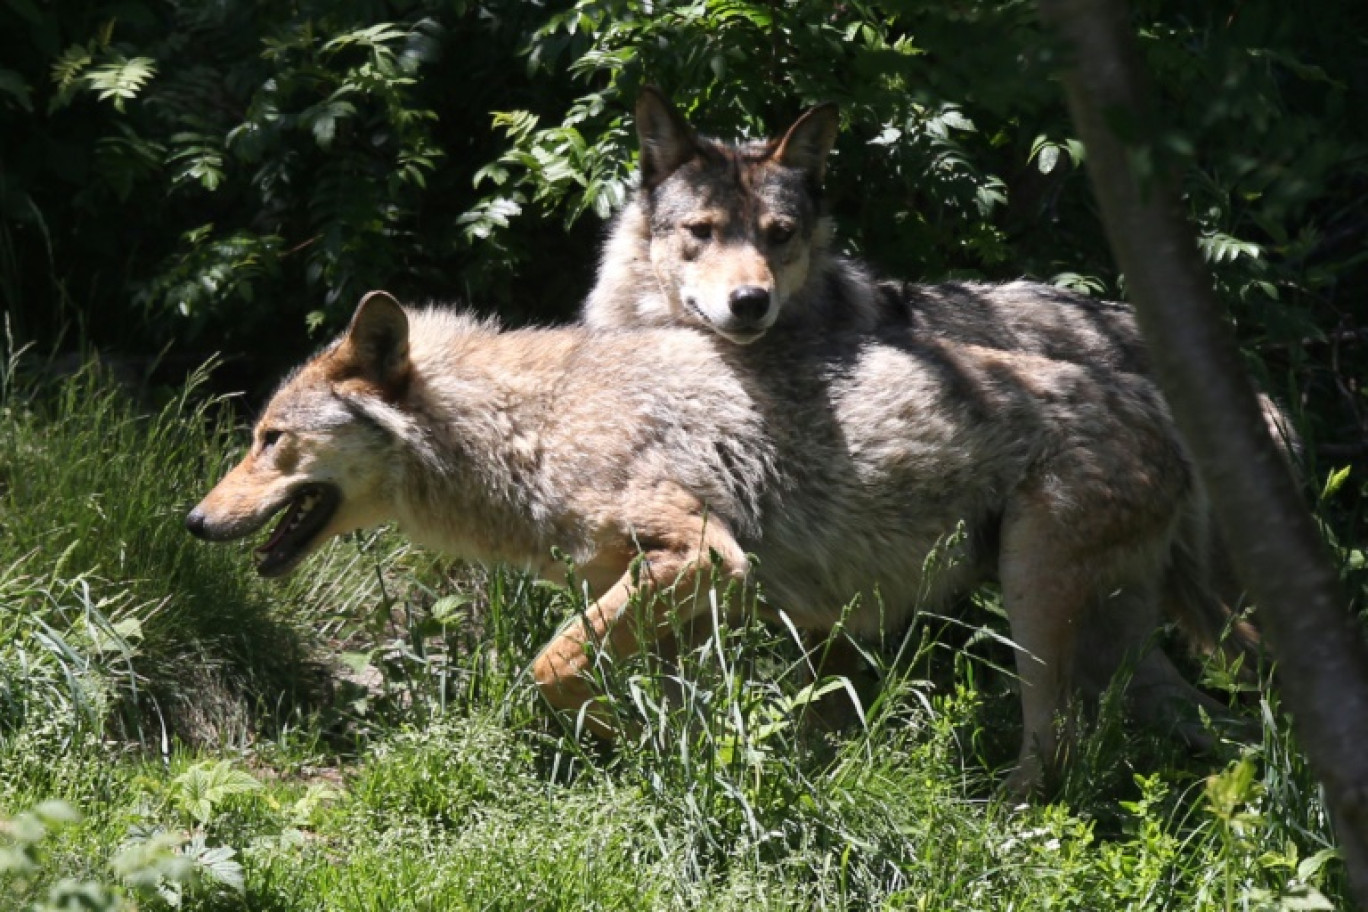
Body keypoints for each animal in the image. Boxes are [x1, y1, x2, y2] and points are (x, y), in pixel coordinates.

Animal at [184, 291, 1242, 793]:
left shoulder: (704, 559)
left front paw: (630, 744)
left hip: (1036, 621)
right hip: (1122, 648)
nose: (193, 522)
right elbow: (623, 683)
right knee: (1208, 728)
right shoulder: (696, 596)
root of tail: (1160, 407)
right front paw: (664, 747)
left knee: (1056, 751)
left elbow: (548, 668)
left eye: (269, 439)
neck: (535, 425)